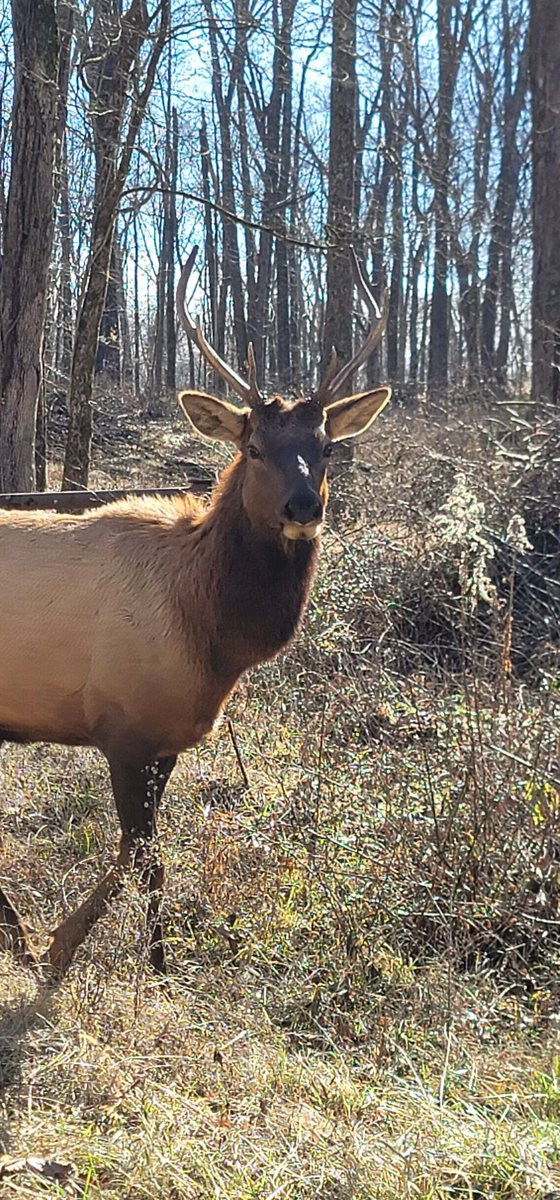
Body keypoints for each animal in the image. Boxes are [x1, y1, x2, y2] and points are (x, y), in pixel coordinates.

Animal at [0, 247, 390, 977]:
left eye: (326, 447)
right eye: (253, 446)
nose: (303, 506)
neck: (212, 635)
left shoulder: (168, 738)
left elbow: (143, 851)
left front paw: (145, 955)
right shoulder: (120, 725)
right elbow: (142, 853)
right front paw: (96, 952)